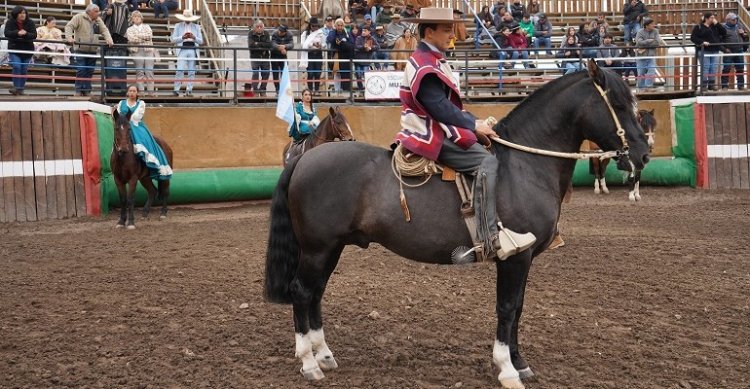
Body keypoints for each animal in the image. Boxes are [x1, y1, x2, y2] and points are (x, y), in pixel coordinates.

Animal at [264, 60, 652, 388]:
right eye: (619, 104)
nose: (643, 153)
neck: (523, 165)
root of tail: (304, 159)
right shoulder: (515, 257)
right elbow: (507, 308)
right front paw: (507, 369)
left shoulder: (524, 259)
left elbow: (518, 307)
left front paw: (520, 362)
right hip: (317, 248)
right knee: (302, 292)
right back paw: (309, 364)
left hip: (331, 248)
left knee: (315, 293)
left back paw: (325, 356)